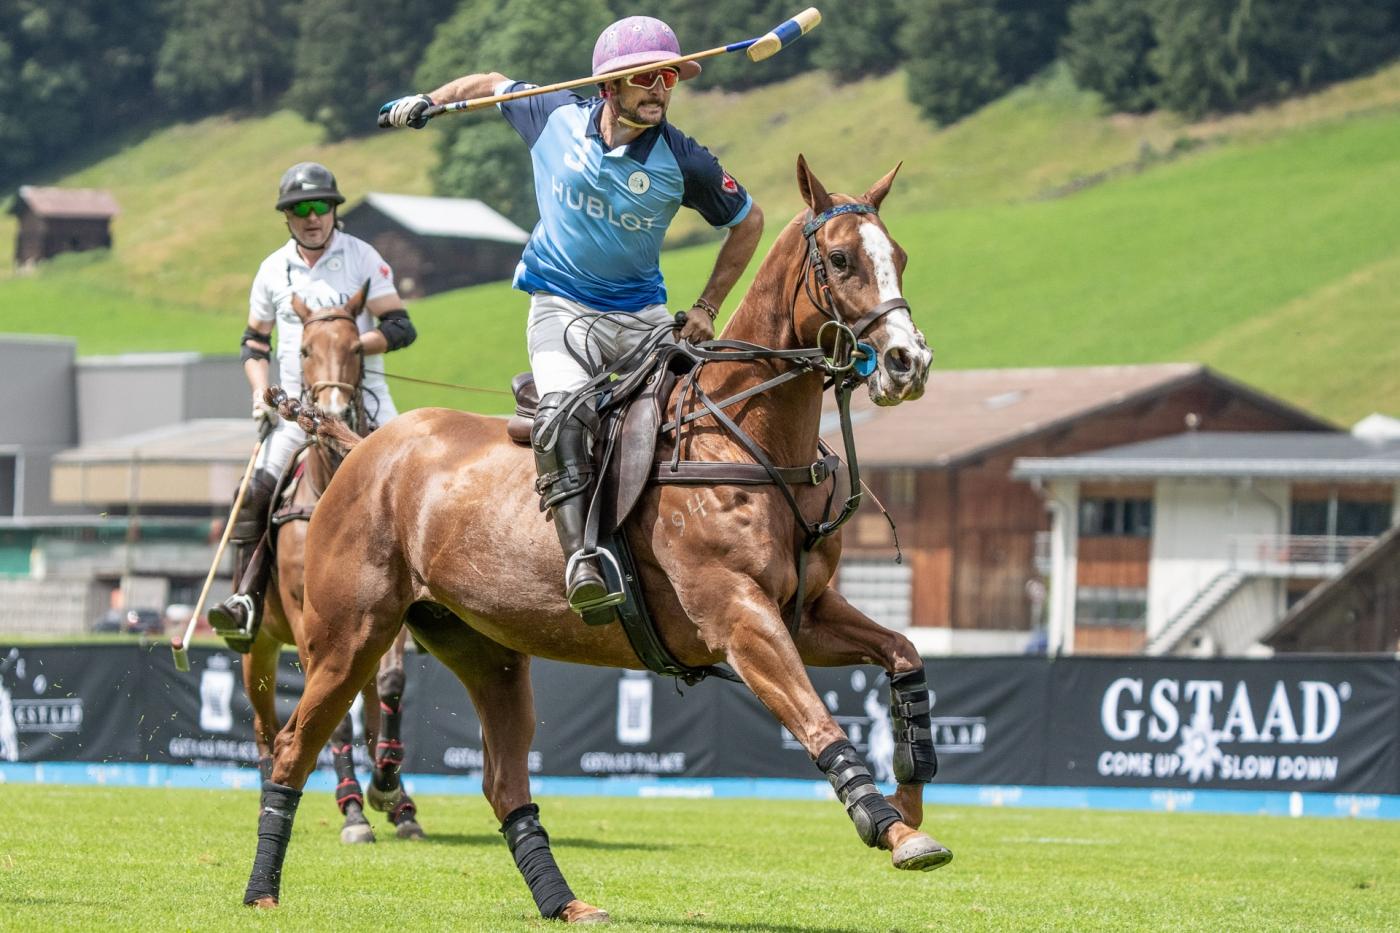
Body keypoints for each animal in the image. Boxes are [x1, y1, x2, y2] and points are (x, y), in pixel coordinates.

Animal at [245, 288, 425, 840]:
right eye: (304, 349)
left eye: (356, 348)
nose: (332, 409)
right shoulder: (305, 616)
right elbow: (332, 717)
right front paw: (353, 812)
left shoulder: (391, 614)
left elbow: (391, 686)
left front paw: (387, 787)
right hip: (258, 647)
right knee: (263, 721)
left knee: (365, 698)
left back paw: (400, 802)